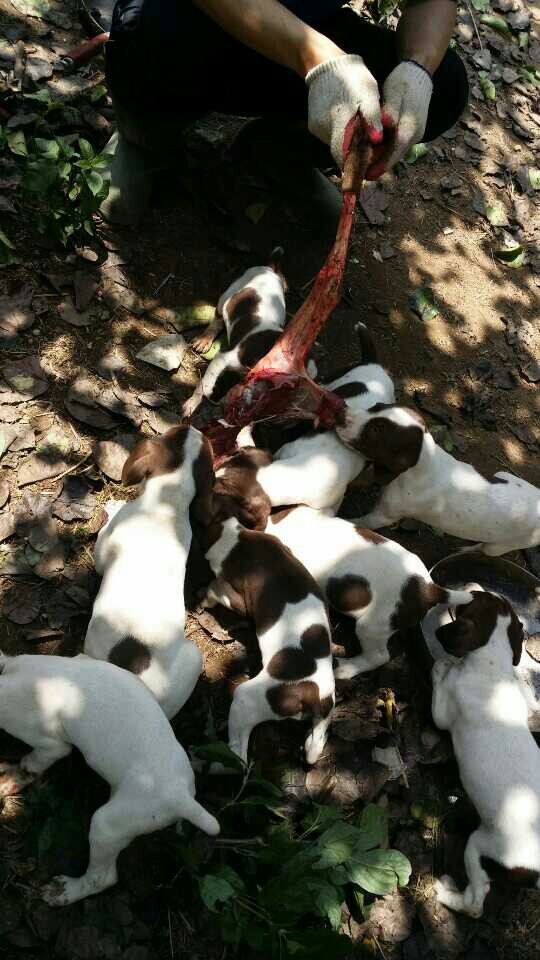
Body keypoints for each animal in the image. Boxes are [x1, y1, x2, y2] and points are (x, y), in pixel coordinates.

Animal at [0, 653, 219, 906]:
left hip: (108, 824)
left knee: (102, 878)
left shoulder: (50, 746)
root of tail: (181, 797)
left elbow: (32, 764)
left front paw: (12, 777)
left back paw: (66, 891)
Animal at [182, 249, 287, 417]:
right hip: (227, 296)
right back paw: (204, 340)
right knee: (217, 320)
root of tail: (269, 269)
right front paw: (193, 403)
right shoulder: (222, 357)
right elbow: (204, 384)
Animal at [199, 502, 335, 766]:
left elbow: (215, 589)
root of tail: (312, 695)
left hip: (247, 699)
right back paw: (311, 746)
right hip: (326, 707)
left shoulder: (237, 598)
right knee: (316, 742)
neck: (237, 534)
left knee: (240, 754)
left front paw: (205, 596)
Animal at [338, 403, 540, 556]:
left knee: (484, 549)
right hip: (503, 474)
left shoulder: (383, 516)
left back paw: (466, 550)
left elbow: (361, 522)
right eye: (375, 407)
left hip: (502, 545)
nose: (341, 411)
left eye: (376, 429)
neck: (423, 462)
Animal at [431, 591, 540, 917]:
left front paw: (440, 665)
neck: (492, 668)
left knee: (476, 903)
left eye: (473, 599)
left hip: (480, 844)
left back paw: (447, 893)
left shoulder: (443, 713)